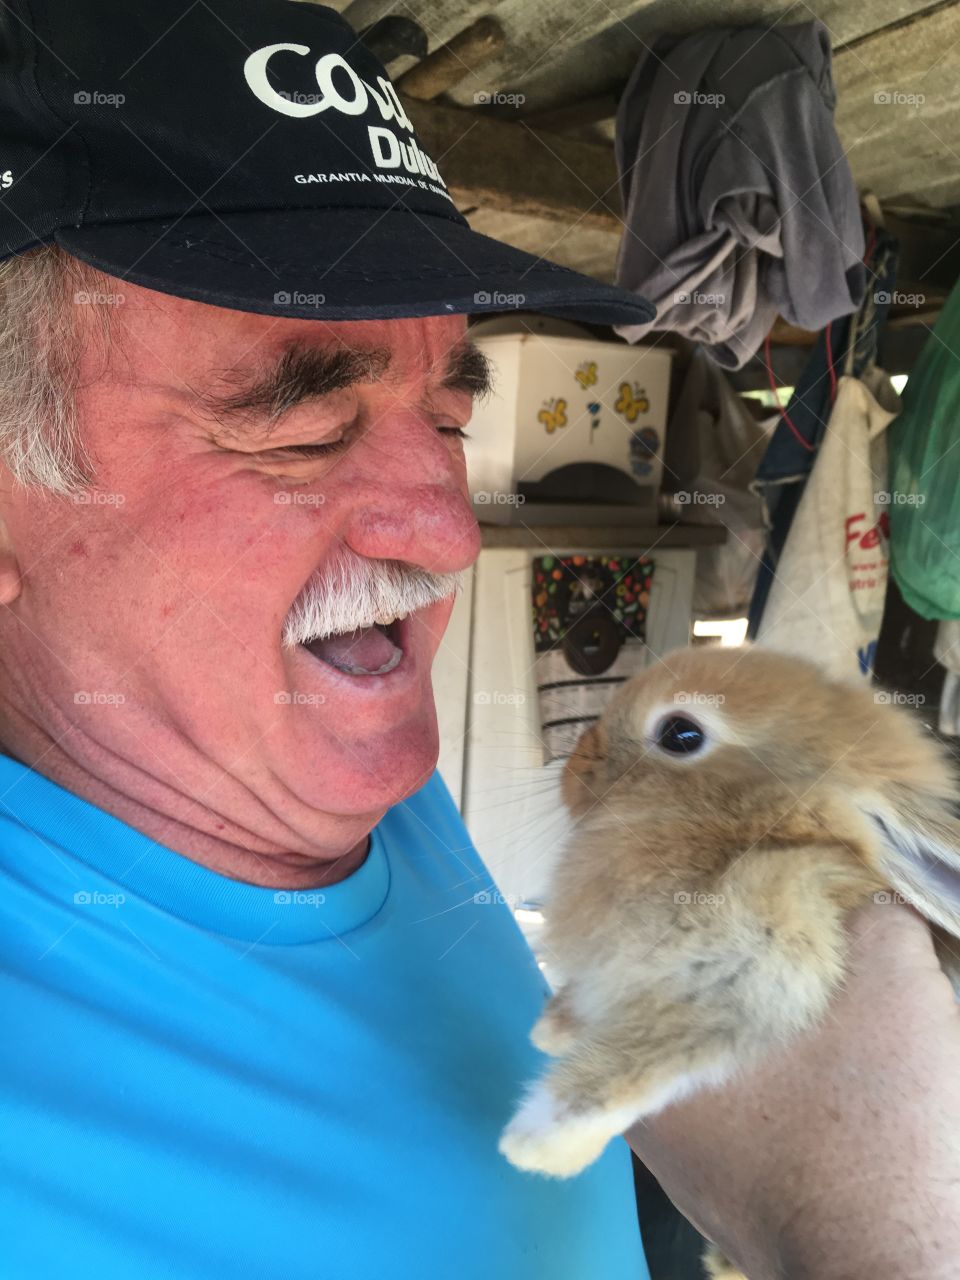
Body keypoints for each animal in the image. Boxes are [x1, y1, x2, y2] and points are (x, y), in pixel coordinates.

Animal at [499, 650, 960, 1208]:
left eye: (680, 734)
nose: (574, 766)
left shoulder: (752, 982)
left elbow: (634, 1069)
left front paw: (536, 1145)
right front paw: (552, 1029)